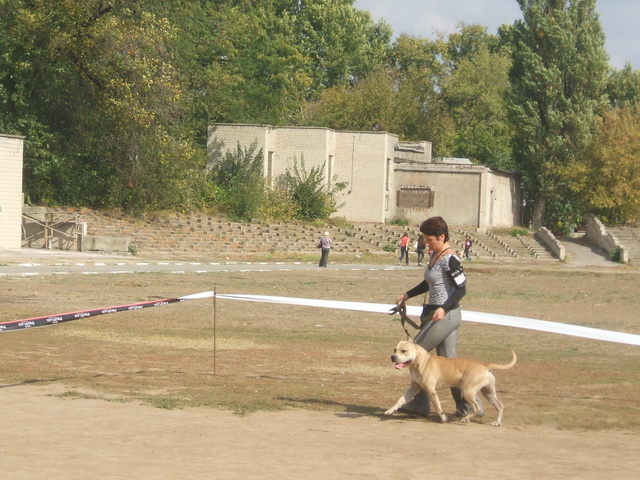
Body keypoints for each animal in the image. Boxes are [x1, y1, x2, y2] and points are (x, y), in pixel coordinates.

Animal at [384, 339, 516, 426]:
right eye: (395, 349)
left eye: (404, 351)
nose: (393, 356)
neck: (421, 361)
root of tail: (485, 365)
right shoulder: (414, 388)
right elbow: (400, 400)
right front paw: (390, 411)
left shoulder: (431, 392)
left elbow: (438, 407)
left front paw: (444, 419)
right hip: (488, 393)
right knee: (500, 406)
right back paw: (497, 422)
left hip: (467, 391)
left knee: (477, 408)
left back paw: (465, 419)